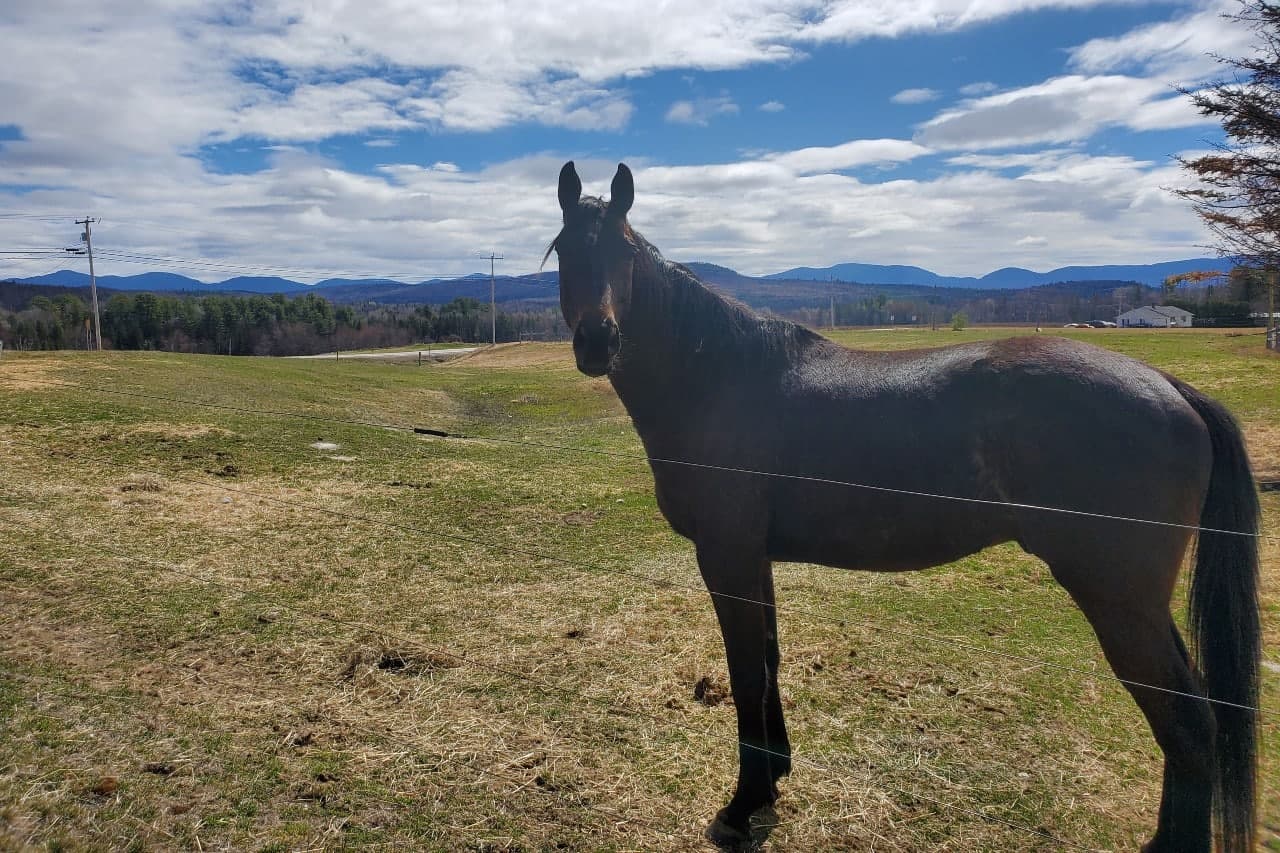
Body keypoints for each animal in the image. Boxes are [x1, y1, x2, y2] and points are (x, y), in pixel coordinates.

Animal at [548, 161, 1260, 851]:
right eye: (562, 249)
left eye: (624, 251)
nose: (597, 341)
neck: (718, 380)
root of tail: (1169, 386)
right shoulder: (753, 557)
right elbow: (769, 660)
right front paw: (774, 777)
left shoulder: (727, 556)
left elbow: (747, 672)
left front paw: (744, 805)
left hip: (1118, 598)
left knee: (1189, 726)